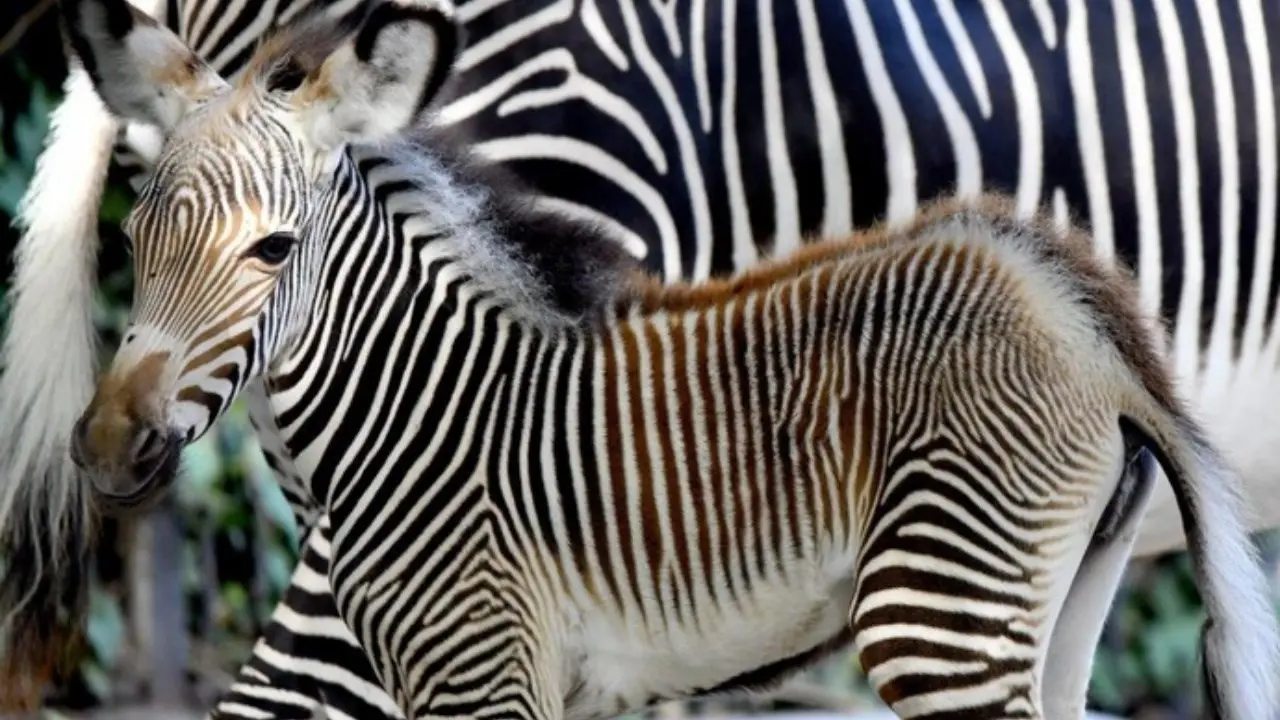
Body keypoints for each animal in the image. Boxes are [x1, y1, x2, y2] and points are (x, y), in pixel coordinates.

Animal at [0, 0, 1274, 712]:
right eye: (131, 238)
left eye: (271, 249)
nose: (105, 445)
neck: (409, 411)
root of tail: (1075, 314)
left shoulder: (482, 668)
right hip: (1055, 606)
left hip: (940, 607)